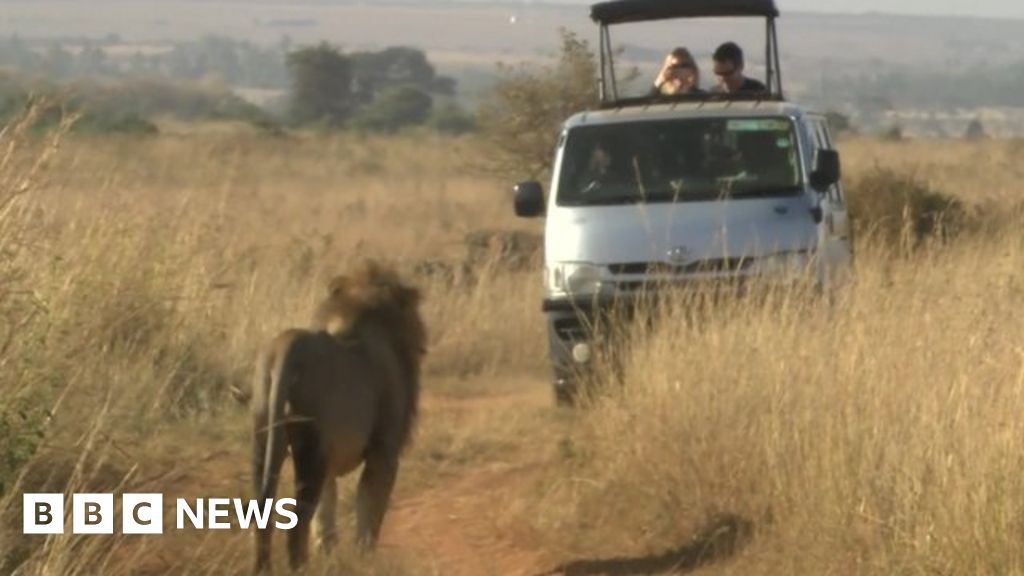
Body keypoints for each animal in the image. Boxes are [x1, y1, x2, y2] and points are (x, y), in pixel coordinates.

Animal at [252, 260, 428, 569]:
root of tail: (288, 349)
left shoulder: (331, 462)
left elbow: (327, 513)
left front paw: (329, 555)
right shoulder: (384, 453)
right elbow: (369, 508)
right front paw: (364, 558)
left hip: (265, 436)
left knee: (263, 515)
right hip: (312, 449)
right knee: (297, 526)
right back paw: (300, 570)